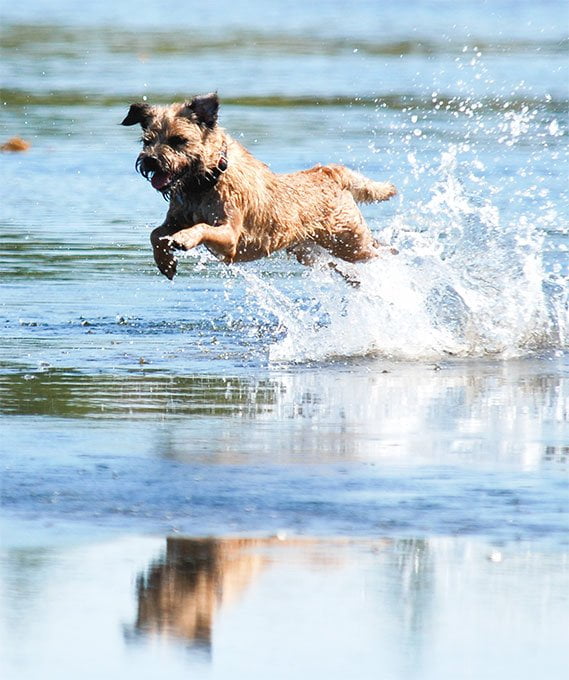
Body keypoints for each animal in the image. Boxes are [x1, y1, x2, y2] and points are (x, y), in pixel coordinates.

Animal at [121, 93, 394, 278]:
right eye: (146, 141)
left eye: (179, 140)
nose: (150, 160)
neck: (207, 181)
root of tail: (331, 173)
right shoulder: (175, 219)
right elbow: (155, 233)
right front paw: (165, 262)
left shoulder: (230, 236)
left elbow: (202, 227)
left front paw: (184, 238)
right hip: (311, 252)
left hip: (349, 242)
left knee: (381, 251)